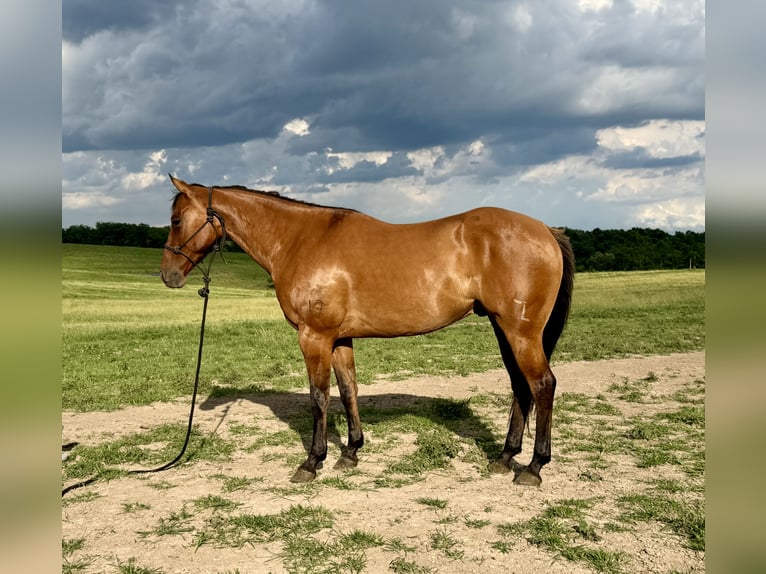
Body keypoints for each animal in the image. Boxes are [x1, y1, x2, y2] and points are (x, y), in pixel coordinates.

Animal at [160, 175, 575, 486]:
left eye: (177, 220)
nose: (169, 275)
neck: (300, 239)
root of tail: (545, 230)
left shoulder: (314, 336)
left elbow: (319, 396)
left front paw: (312, 461)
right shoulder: (339, 338)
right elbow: (348, 391)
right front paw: (351, 452)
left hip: (521, 333)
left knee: (542, 385)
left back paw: (533, 467)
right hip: (503, 329)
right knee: (521, 386)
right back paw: (505, 458)